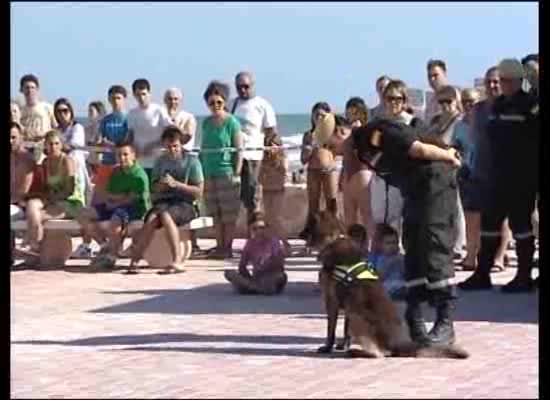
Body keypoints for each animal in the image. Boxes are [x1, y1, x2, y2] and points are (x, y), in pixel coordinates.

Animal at [310, 208, 470, 358]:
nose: (304, 237)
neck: (333, 240)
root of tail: (397, 343)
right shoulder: (346, 304)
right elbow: (345, 330)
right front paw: (343, 345)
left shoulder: (332, 302)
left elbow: (331, 329)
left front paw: (328, 347)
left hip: (357, 316)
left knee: (380, 353)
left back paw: (358, 351)